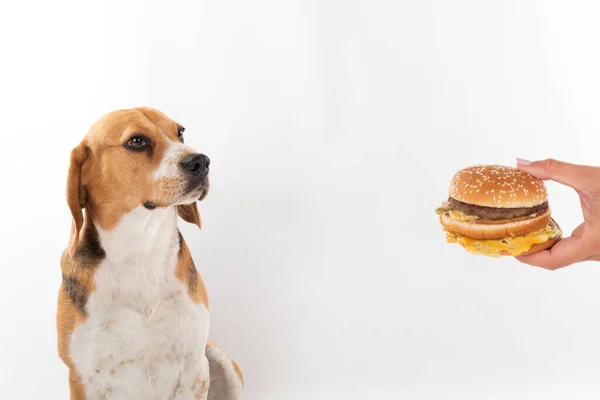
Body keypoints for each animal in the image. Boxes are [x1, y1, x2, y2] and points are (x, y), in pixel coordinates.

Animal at [55, 107, 244, 400]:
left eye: (180, 133)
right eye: (137, 141)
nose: (201, 162)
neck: (141, 248)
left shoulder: (194, 366)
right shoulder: (82, 377)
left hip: (219, 358)